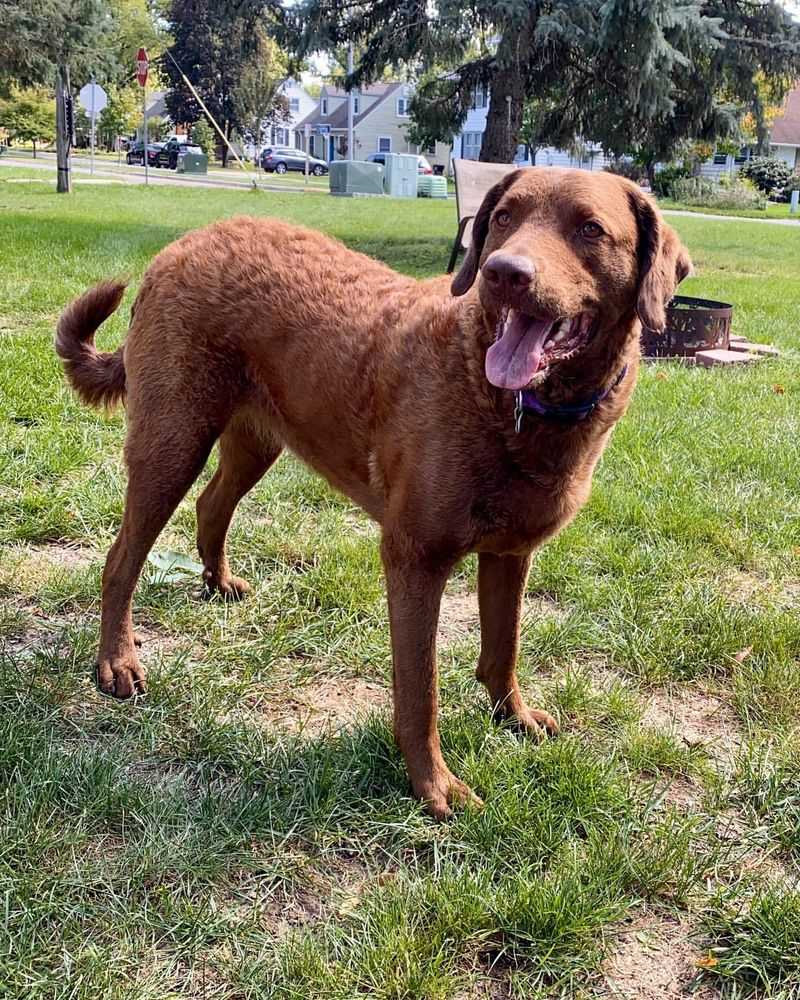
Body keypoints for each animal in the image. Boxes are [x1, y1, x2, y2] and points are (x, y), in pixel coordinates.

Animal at [56, 168, 692, 816]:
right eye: (504, 218)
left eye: (590, 229)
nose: (503, 273)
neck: (516, 403)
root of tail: (181, 245)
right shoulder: (415, 556)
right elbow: (420, 690)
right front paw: (434, 786)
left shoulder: (511, 553)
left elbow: (504, 647)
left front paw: (512, 717)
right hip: (172, 439)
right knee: (121, 559)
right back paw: (117, 662)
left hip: (257, 439)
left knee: (212, 503)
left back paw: (218, 582)